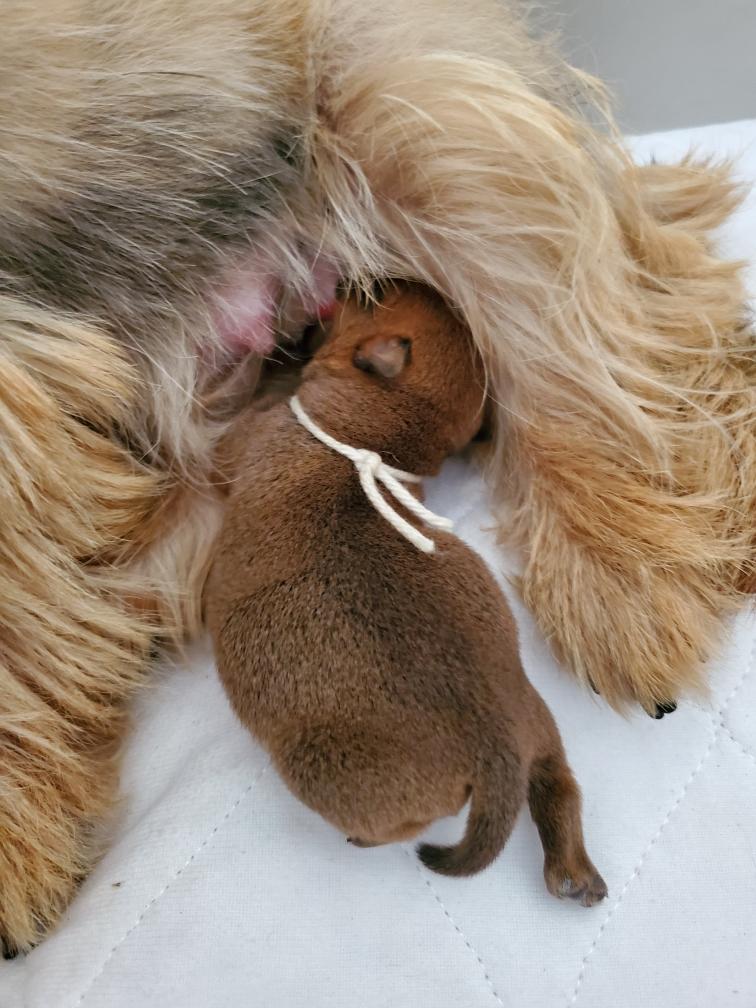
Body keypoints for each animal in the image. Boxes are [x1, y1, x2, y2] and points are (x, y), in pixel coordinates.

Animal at [206, 283, 607, 904]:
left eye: (378, 298)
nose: (352, 281)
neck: (375, 437)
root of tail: (494, 754)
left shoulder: (239, 444)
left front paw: (251, 358)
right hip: (540, 723)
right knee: (559, 785)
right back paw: (574, 871)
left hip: (324, 769)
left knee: (400, 827)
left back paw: (366, 839)